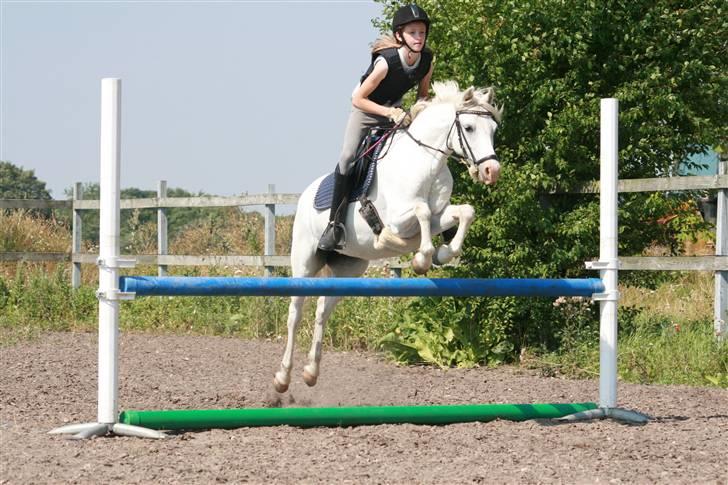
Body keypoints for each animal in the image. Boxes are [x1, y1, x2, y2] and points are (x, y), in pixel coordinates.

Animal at [272, 80, 500, 394]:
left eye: (493, 129)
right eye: (468, 127)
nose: (492, 171)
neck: (426, 163)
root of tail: (306, 194)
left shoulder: (440, 214)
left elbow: (464, 211)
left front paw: (442, 253)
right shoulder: (397, 219)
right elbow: (421, 211)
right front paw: (421, 257)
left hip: (349, 268)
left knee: (322, 310)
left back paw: (310, 372)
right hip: (305, 261)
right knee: (295, 314)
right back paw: (283, 377)